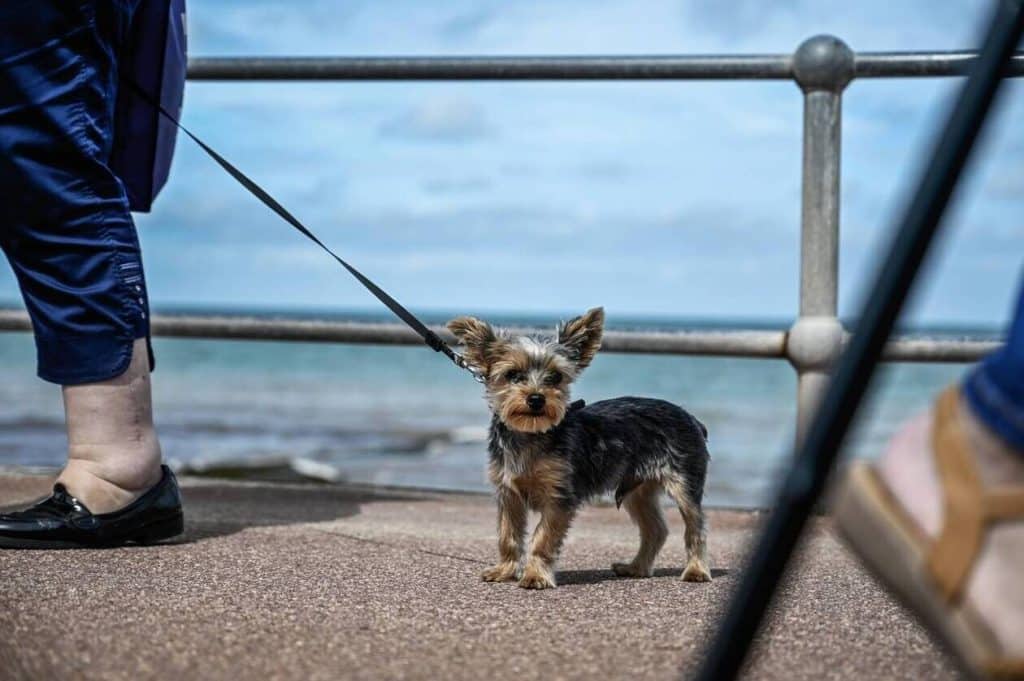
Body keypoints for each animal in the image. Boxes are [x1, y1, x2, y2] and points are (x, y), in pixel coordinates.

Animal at [448, 305, 712, 585]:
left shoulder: (559, 496)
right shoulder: (508, 494)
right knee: (656, 529)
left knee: (695, 527)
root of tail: (691, 418)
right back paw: (636, 567)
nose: (536, 398)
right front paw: (505, 570)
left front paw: (535, 575)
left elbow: (542, 538)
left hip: (684, 483)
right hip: (638, 489)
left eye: (555, 377)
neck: (530, 433)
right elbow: (508, 535)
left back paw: (696, 570)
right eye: (513, 375)